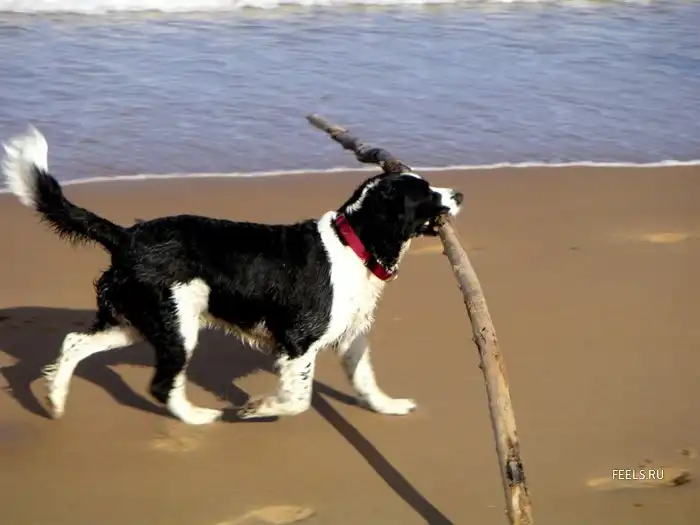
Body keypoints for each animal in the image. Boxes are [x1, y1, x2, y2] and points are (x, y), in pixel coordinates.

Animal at [1, 126, 462, 425]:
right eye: (425, 194)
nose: (459, 193)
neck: (354, 243)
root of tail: (126, 235)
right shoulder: (299, 340)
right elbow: (298, 399)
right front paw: (257, 408)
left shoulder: (350, 337)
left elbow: (365, 380)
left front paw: (389, 407)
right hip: (176, 324)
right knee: (161, 384)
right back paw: (198, 417)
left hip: (137, 320)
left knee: (74, 342)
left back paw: (55, 401)